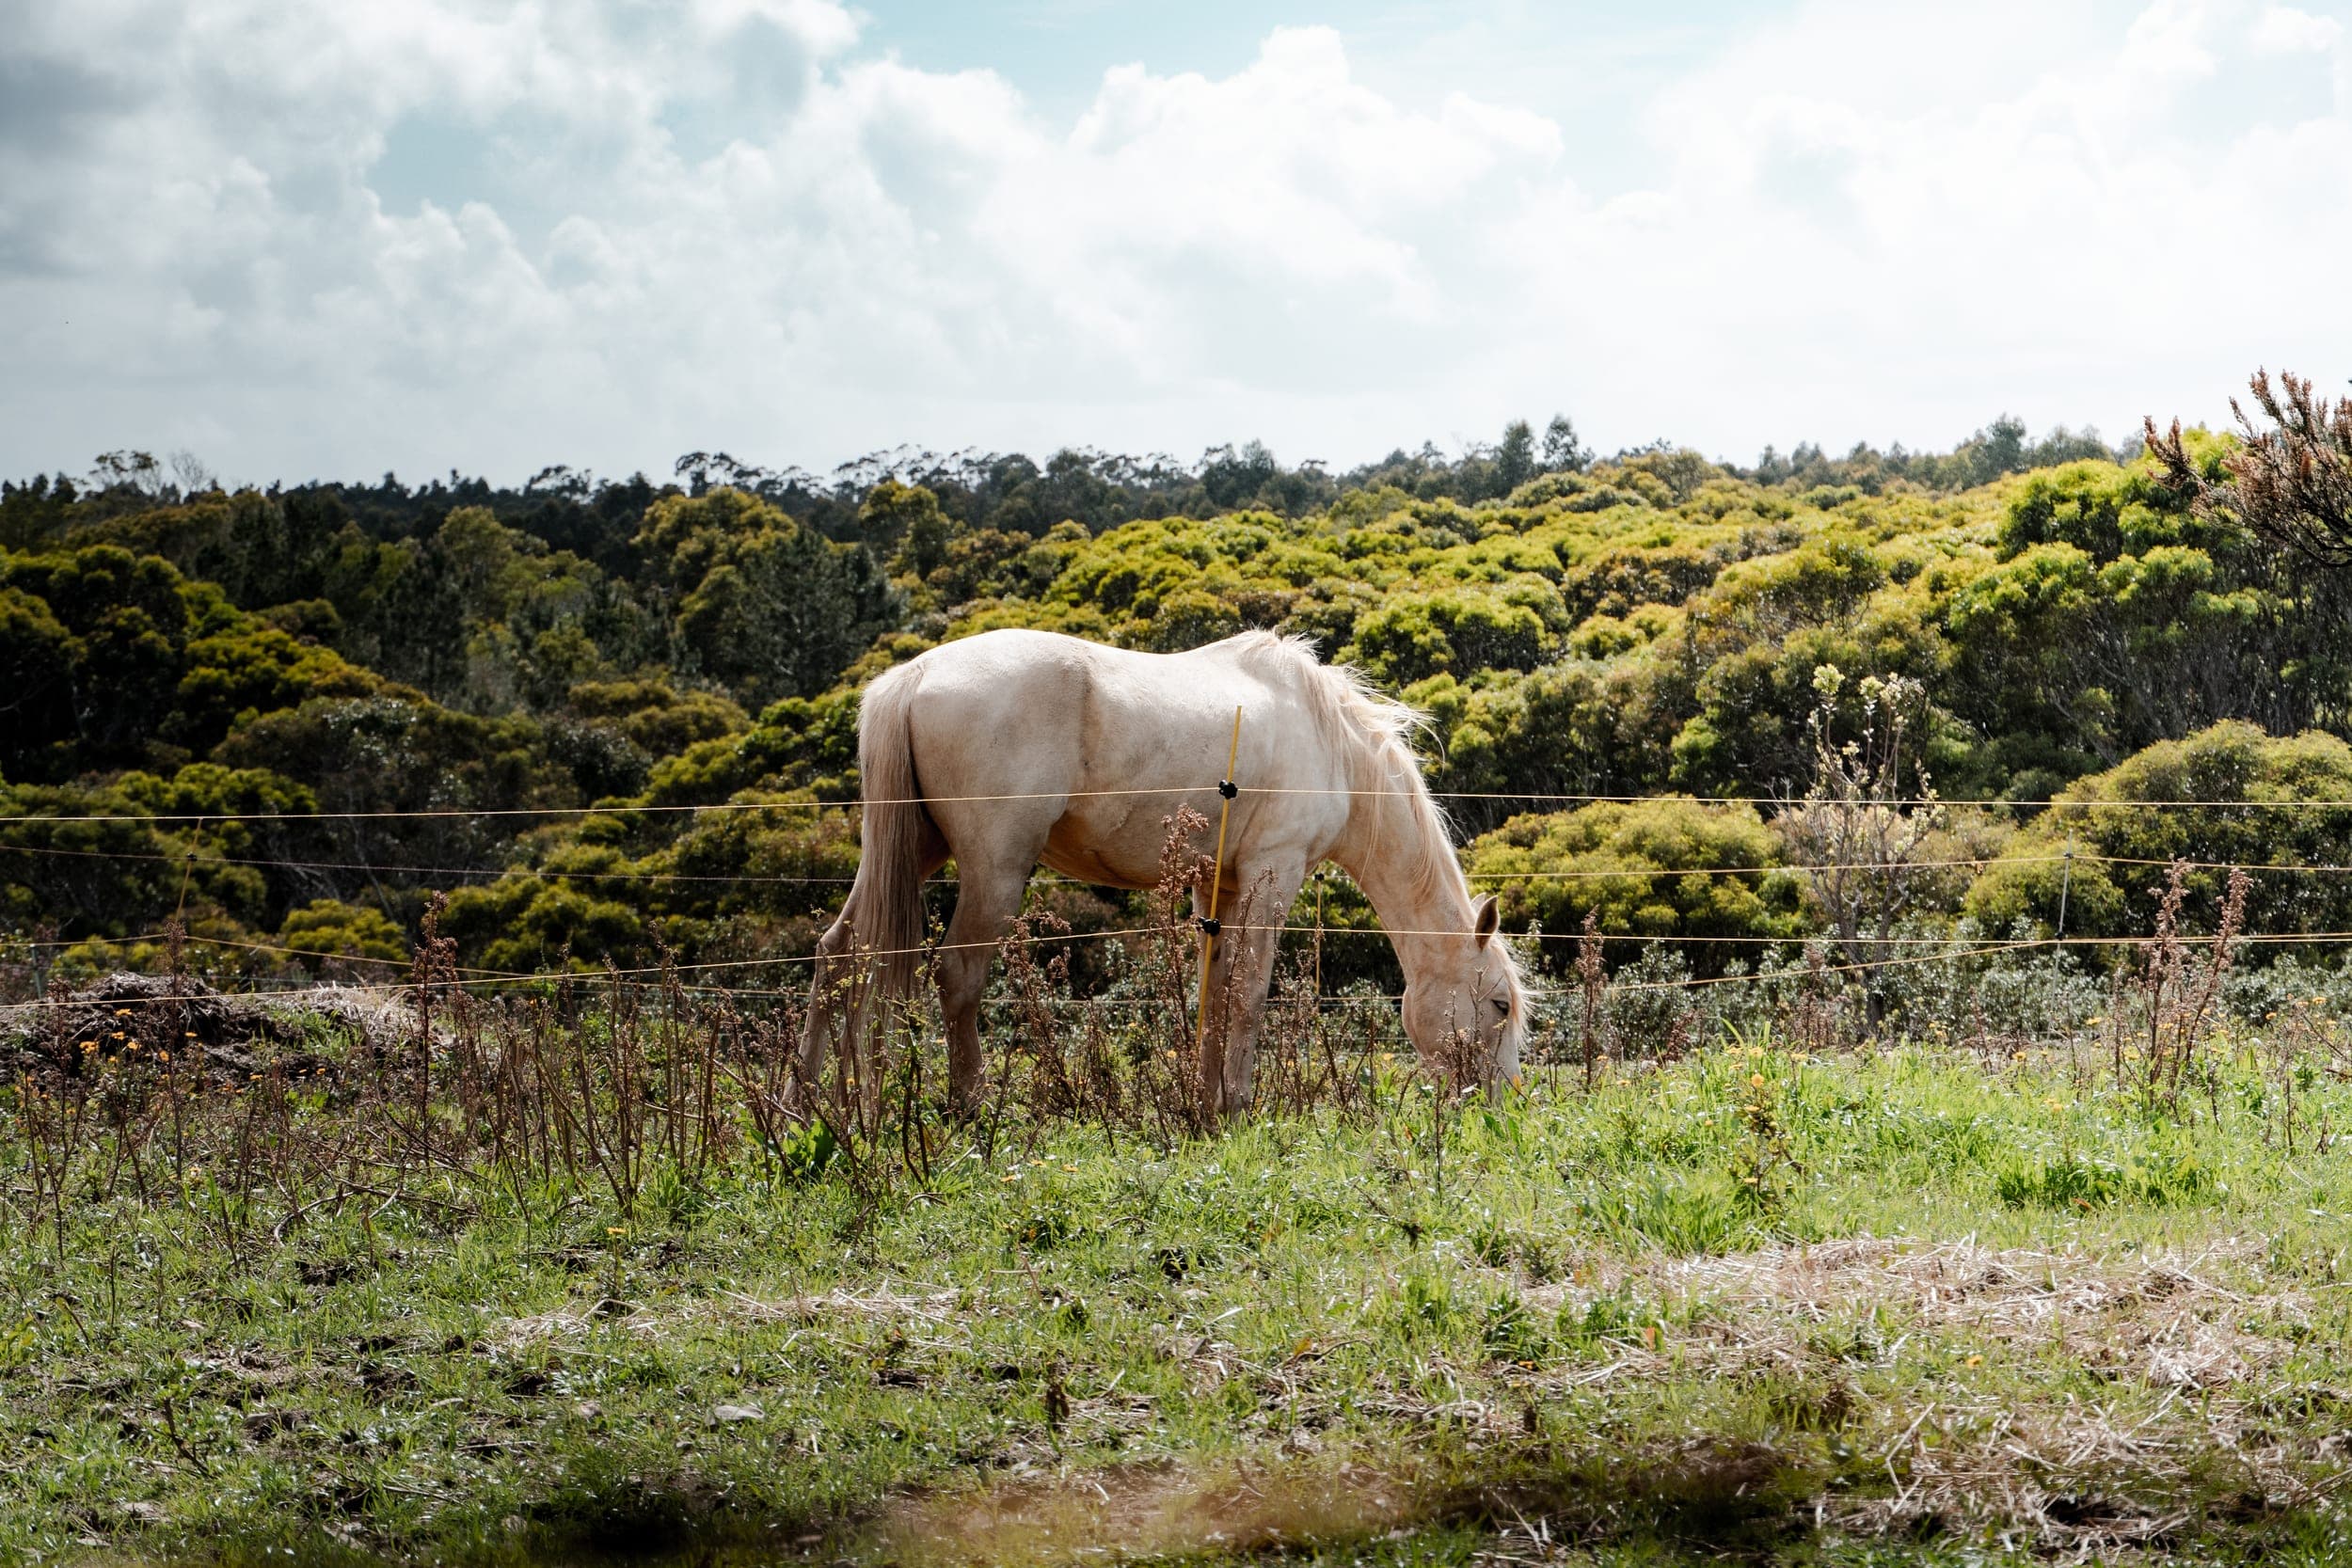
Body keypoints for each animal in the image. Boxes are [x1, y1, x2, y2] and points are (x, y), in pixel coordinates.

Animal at [796, 628, 1527, 1117]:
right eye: (1499, 1005)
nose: (1499, 1105)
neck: (1332, 745)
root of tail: (915, 676)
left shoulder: (1216, 884)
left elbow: (1214, 992)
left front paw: (1205, 1104)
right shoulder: (1273, 872)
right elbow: (1247, 994)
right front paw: (1236, 1104)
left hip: (910, 853)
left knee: (839, 955)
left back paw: (806, 1106)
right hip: (994, 869)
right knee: (958, 975)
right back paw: (969, 1107)